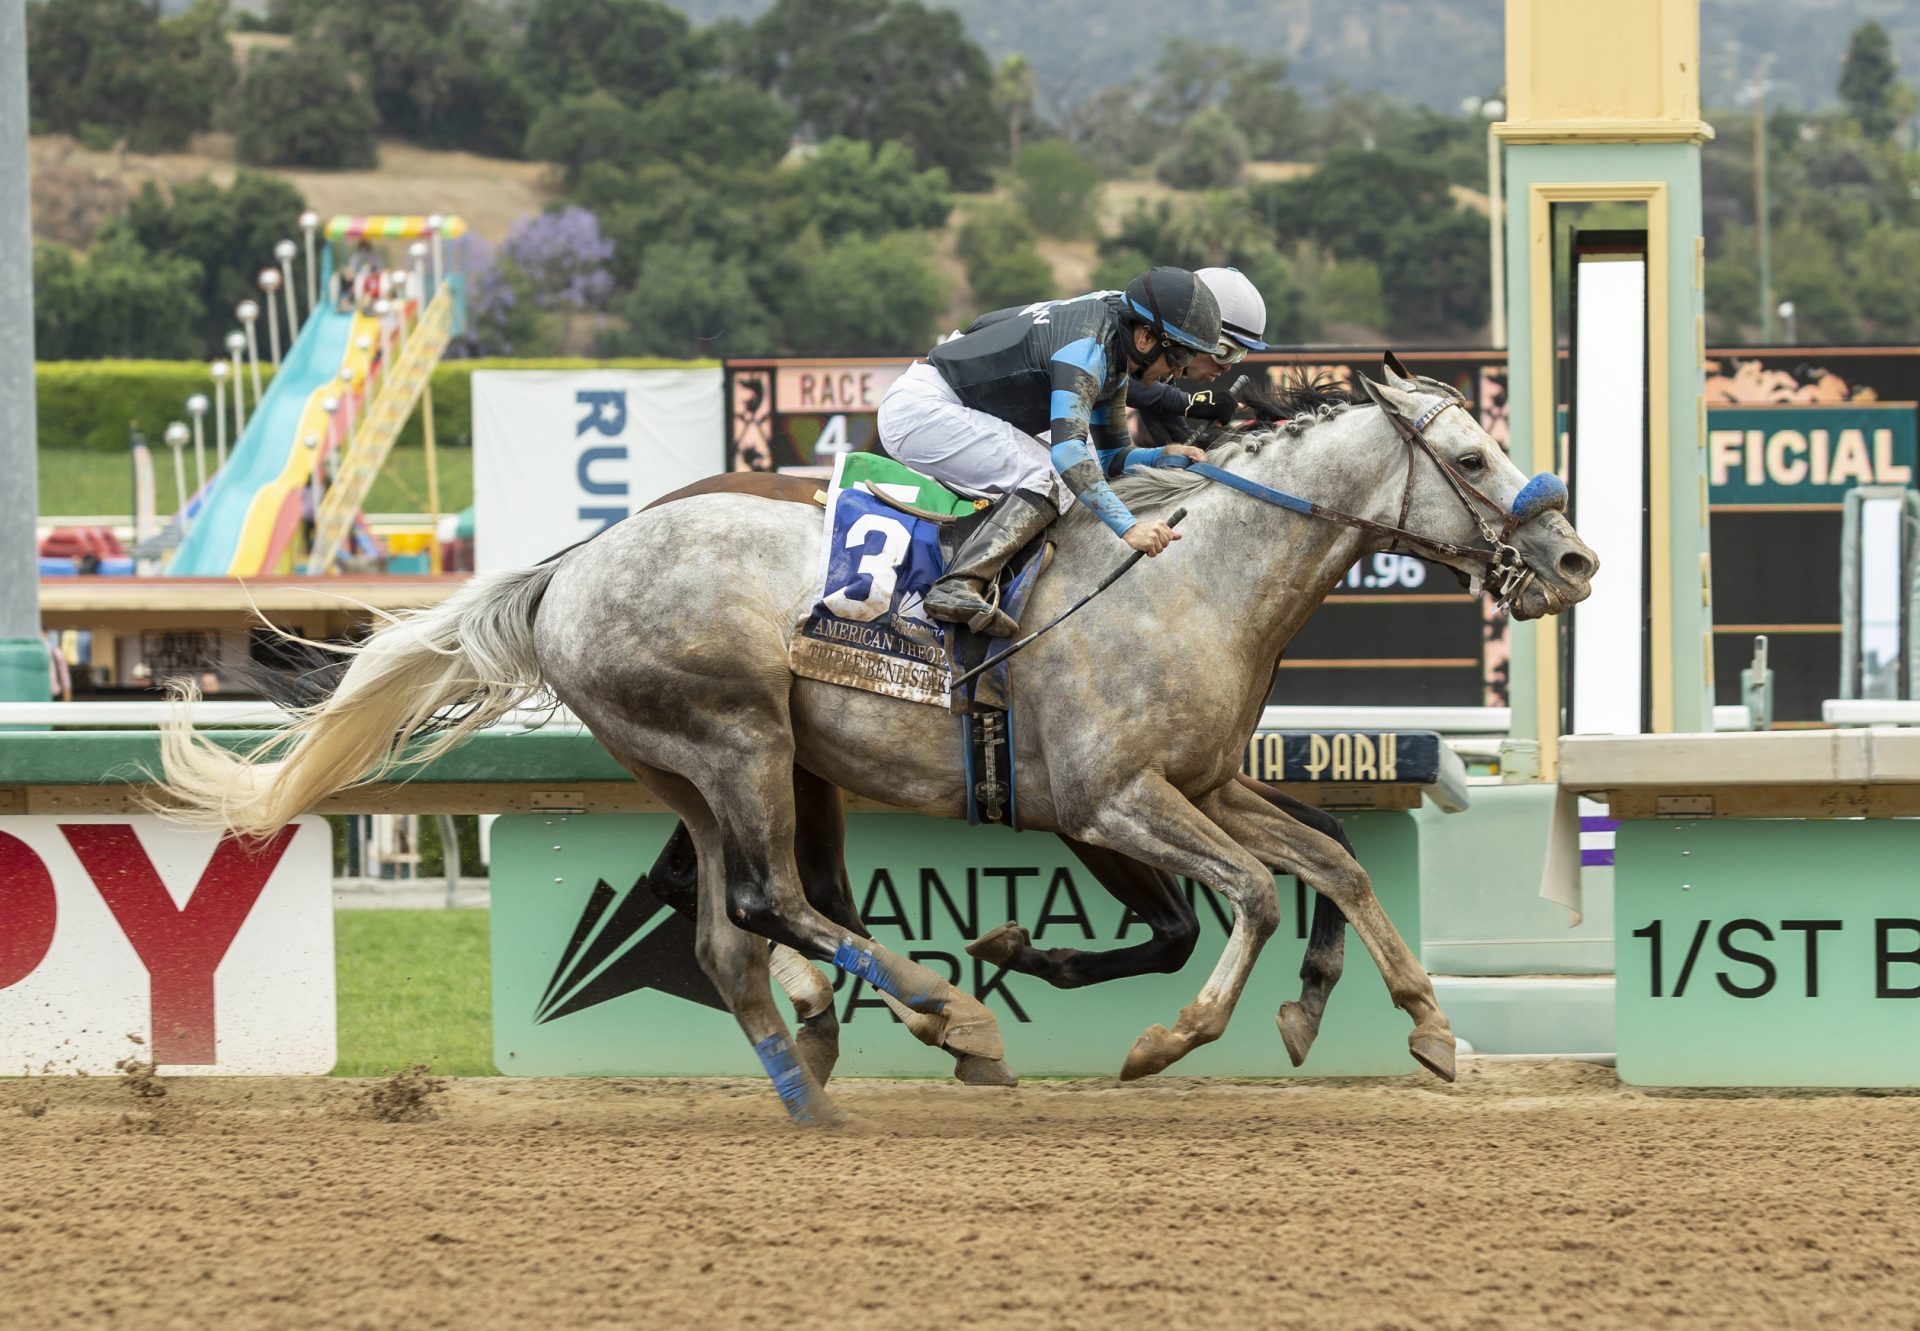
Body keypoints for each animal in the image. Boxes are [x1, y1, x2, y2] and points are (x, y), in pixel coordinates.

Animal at [161, 363, 1589, 1121]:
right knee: (765, 899)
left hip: (719, 767)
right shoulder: (1112, 798)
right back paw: (947, 1011)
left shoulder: (1202, 780)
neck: (1190, 575)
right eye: (1471, 454)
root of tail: (574, 562)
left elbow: (1330, 858)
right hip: (736, 739)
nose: (1573, 559)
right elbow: (1242, 894)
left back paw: (820, 1079)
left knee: (728, 929)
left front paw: (1418, 1025)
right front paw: (1164, 1036)